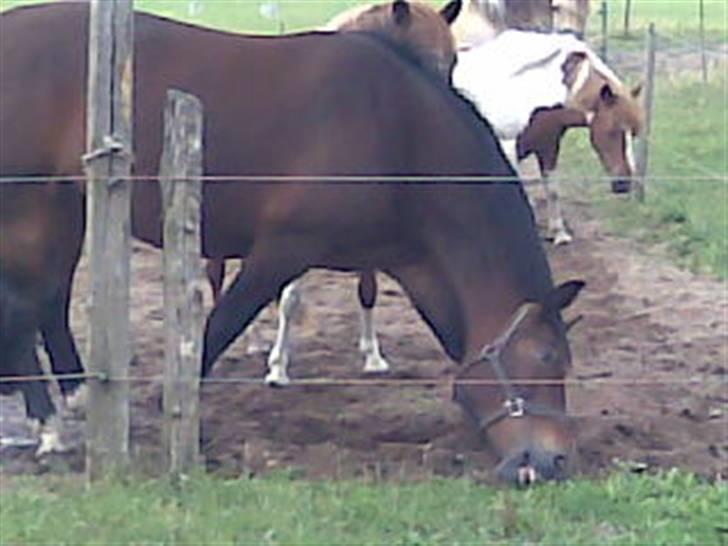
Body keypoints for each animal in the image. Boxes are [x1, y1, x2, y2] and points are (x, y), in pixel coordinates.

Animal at [0, 3, 584, 480]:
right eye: (546, 355)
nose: (552, 460)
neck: (396, 130)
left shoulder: (412, 263)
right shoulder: (282, 249)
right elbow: (217, 333)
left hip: (65, 205)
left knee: (46, 301)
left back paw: (72, 399)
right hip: (28, 205)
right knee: (24, 304)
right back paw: (47, 424)